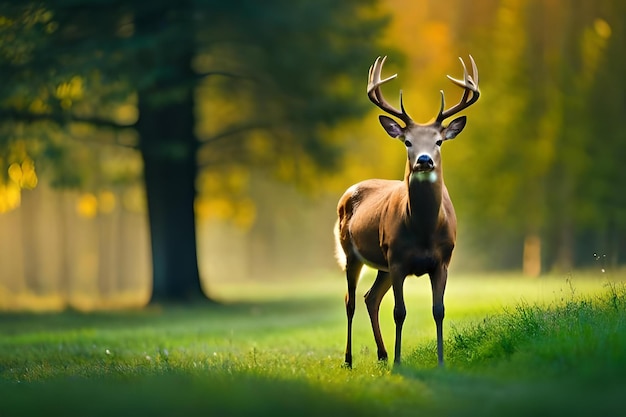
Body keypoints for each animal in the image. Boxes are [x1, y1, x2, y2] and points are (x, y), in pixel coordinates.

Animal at [336, 55, 478, 368]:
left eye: (439, 141)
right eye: (408, 141)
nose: (424, 161)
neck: (423, 230)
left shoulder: (442, 260)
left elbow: (439, 310)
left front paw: (440, 362)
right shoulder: (398, 258)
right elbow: (399, 312)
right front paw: (400, 363)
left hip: (383, 265)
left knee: (370, 297)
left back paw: (382, 354)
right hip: (352, 252)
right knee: (350, 301)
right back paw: (350, 359)